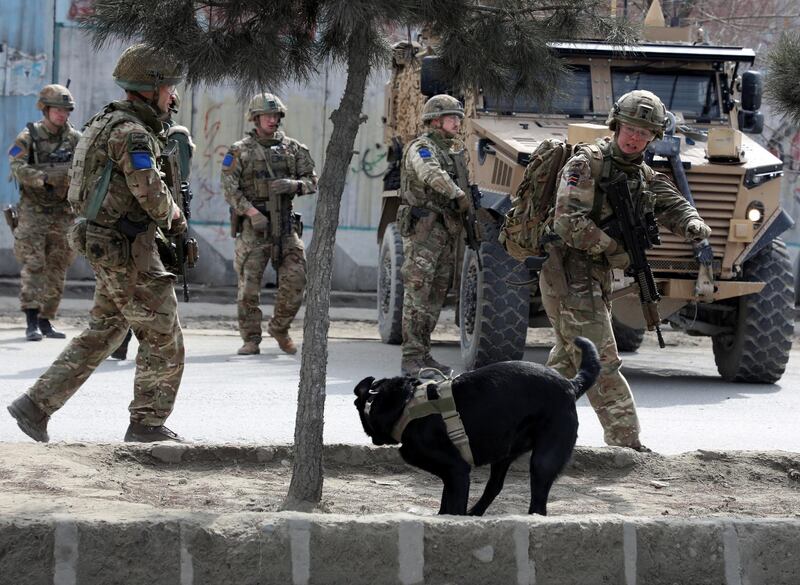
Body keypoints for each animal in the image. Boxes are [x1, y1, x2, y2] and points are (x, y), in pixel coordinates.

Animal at [354, 336, 596, 512]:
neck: (406, 404)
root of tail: (570, 384)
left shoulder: (457, 471)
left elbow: (453, 509)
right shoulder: (452, 477)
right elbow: (446, 507)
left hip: (543, 461)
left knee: (538, 501)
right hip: (504, 454)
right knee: (494, 486)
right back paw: (475, 514)